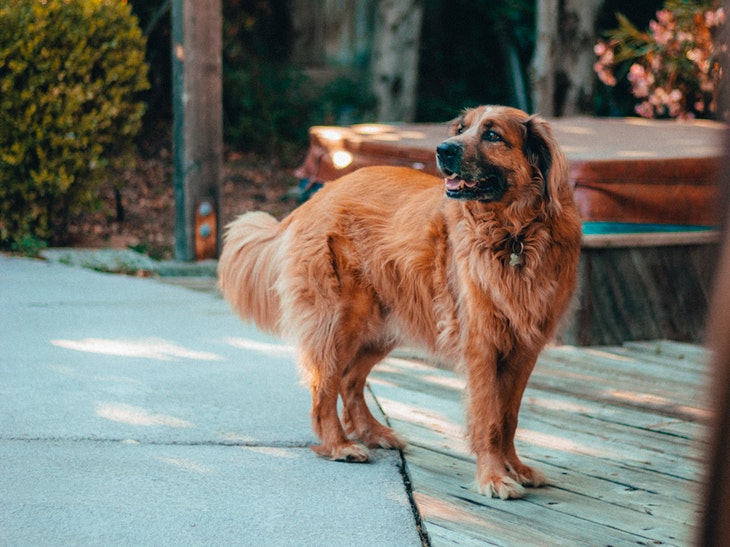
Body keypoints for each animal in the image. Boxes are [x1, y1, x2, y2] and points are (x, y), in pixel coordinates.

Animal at [216, 107, 580, 500]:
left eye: (492, 135)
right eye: (461, 129)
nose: (443, 149)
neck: (514, 234)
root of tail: (319, 195)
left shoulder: (526, 348)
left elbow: (509, 417)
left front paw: (515, 467)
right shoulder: (482, 344)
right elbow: (489, 419)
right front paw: (494, 476)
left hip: (384, 325)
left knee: (349, 380)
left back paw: (374, 433)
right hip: (339, 320)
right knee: (324, 386)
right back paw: (338, 444)